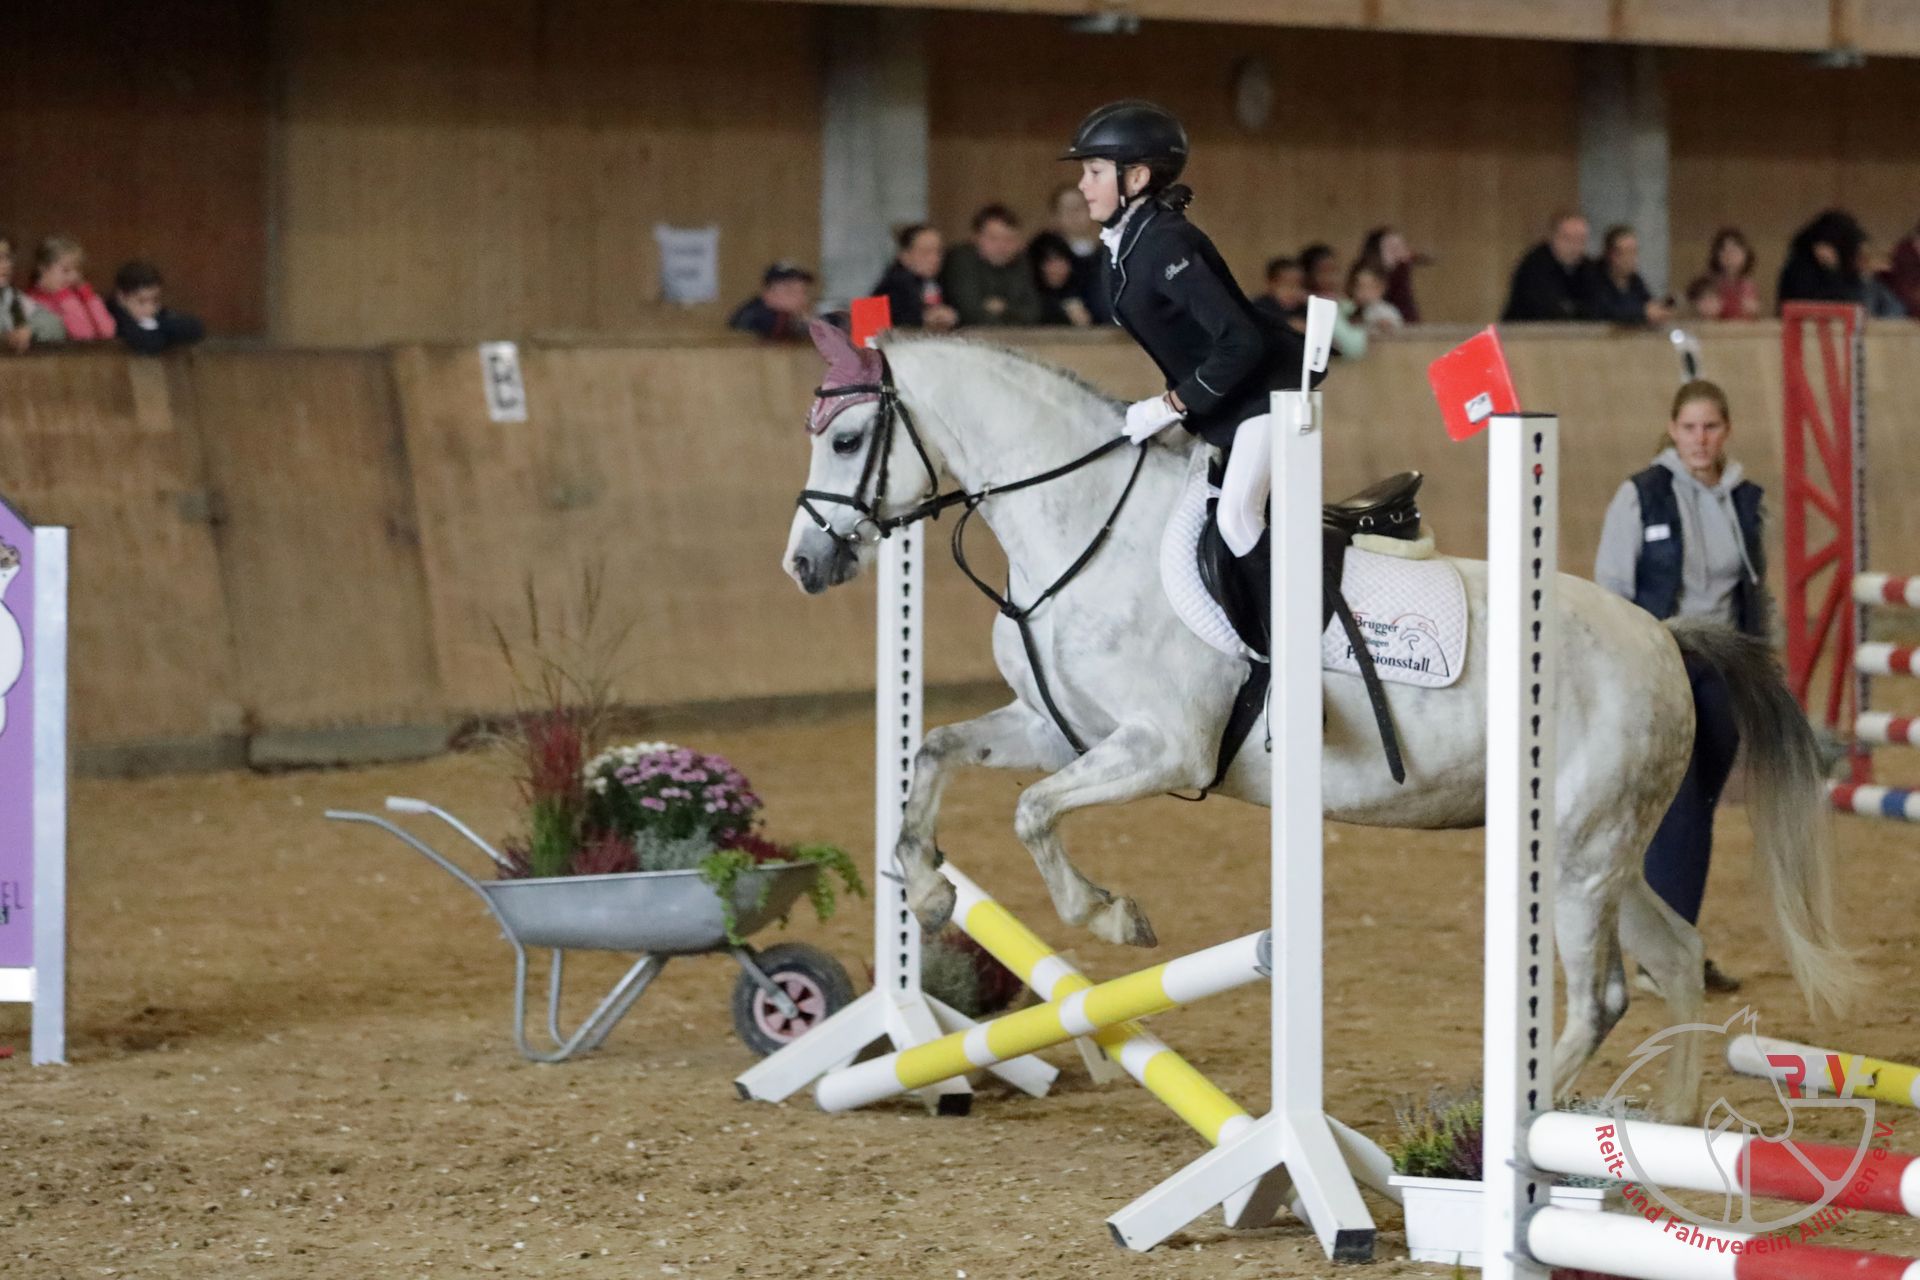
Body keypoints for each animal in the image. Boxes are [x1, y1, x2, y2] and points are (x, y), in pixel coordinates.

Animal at [782, 320, 1855, 1119]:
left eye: (846, 440)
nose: (803, 564)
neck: (1087, 528)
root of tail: (1665, 638)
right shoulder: (1064, 730)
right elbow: (938, 752)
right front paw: (926, 890)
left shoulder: (1161, 749)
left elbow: (1033, 814)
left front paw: (1112, 915)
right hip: (1591, 851)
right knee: (1671, 959)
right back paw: (1663, 1134)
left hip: (1583, 856)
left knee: (1601, 997)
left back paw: (1503, 1130)